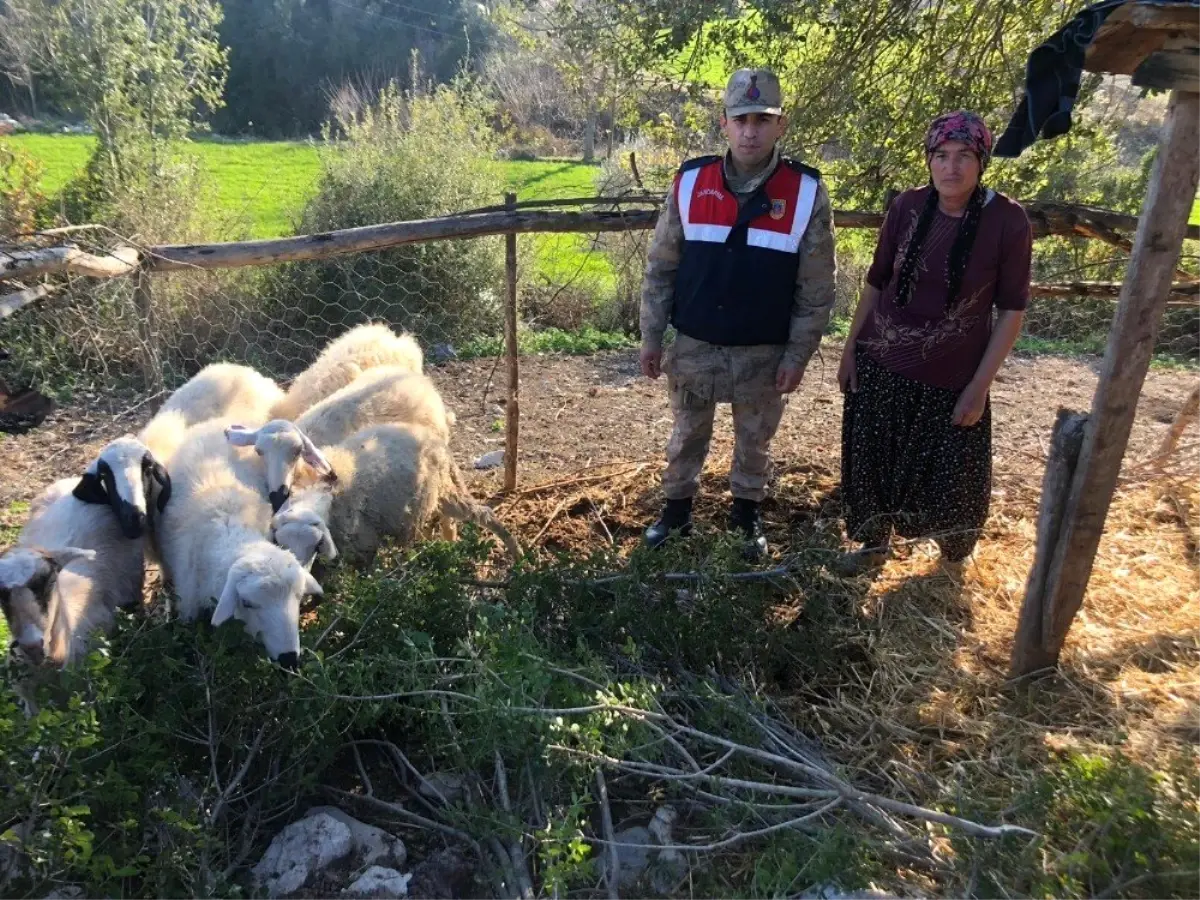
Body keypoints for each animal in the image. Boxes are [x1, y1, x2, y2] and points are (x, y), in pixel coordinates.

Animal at [154, 420, 324, 667]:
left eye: (299, 597)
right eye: (247, 603)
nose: (289, 659)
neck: (230, 530)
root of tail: (214, 423)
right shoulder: (188, 602)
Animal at [267, 424, 520, 571]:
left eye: (313, 545)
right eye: (282, 545)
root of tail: (436, 440)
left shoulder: (363, 543)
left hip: (441, 493)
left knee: (483, 513)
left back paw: (517, 553)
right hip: (433, 497)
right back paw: (448, 545)